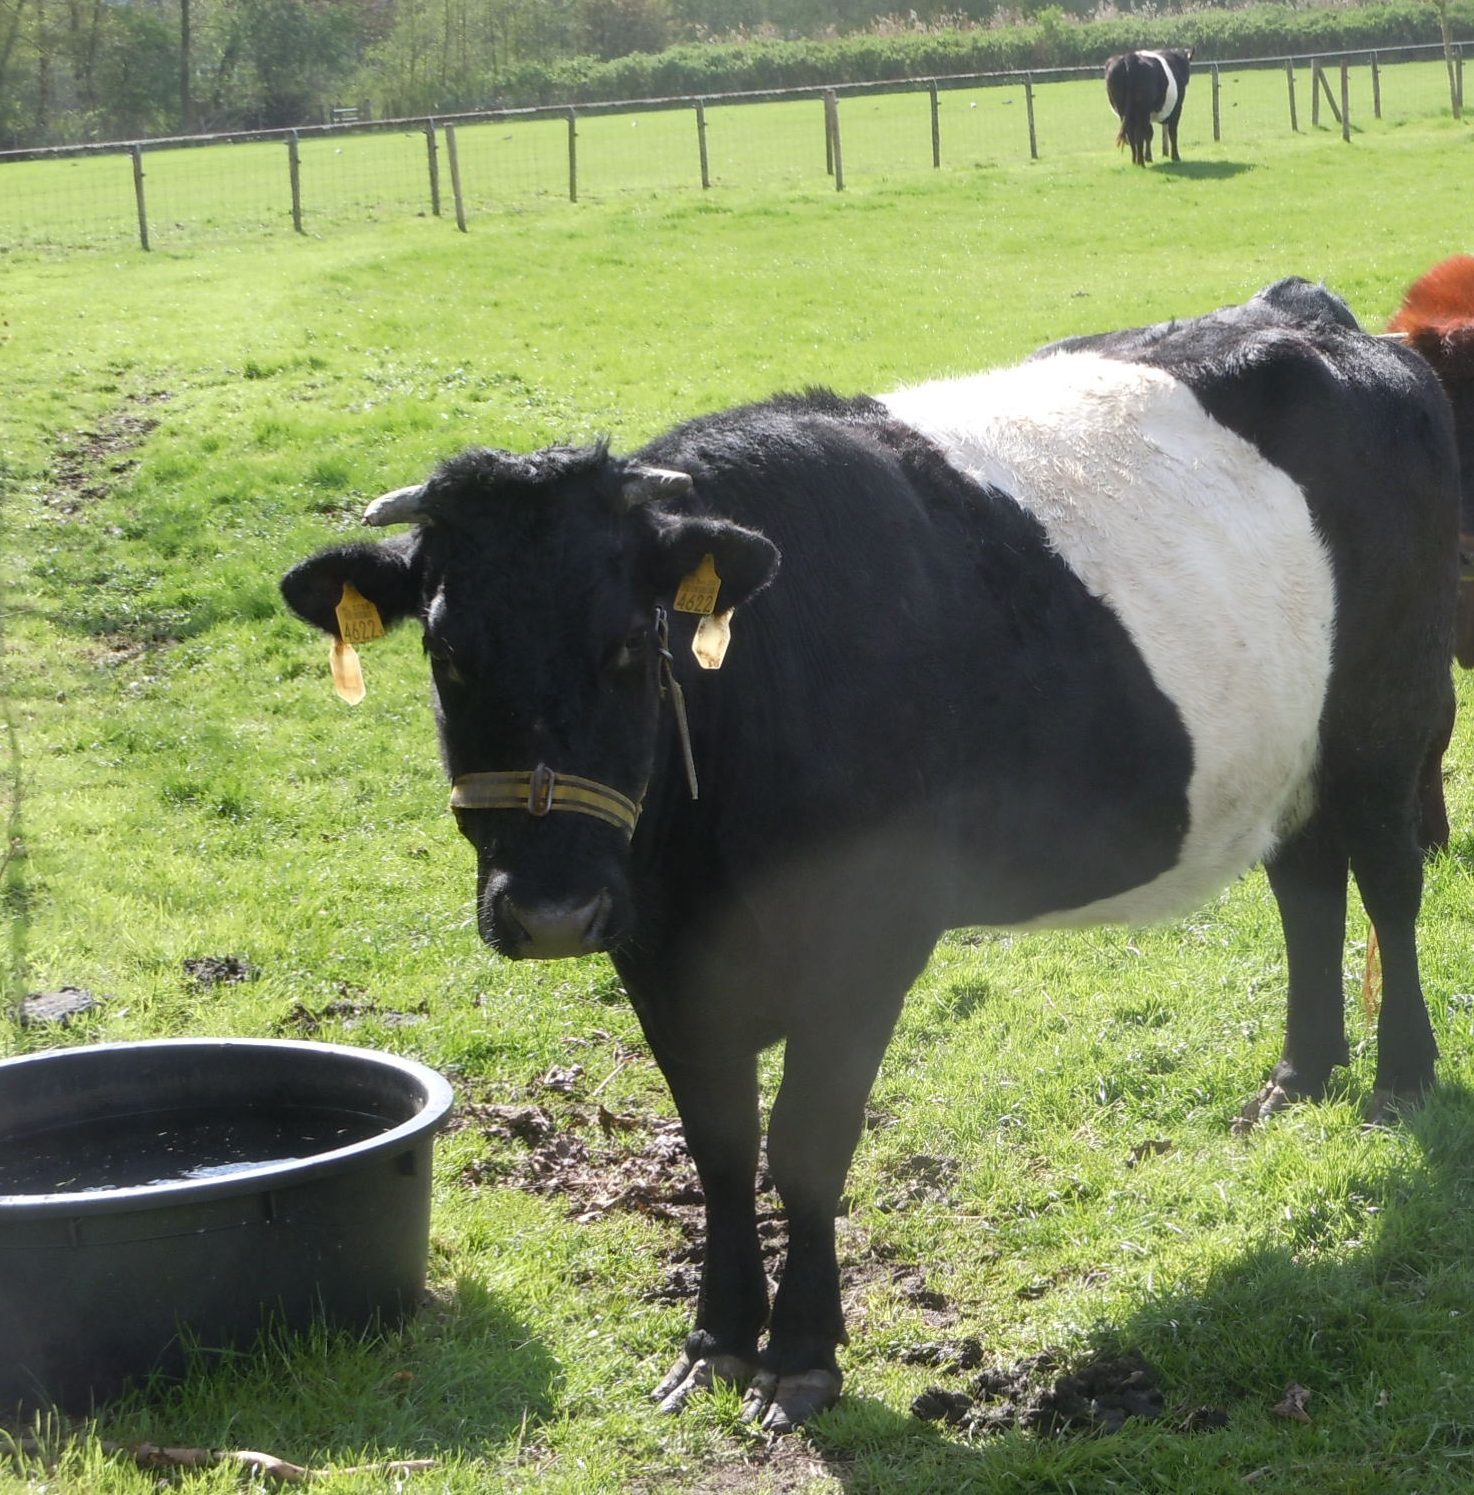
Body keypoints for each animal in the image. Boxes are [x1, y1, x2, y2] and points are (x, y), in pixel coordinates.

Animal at [281, 279, 1457, 1434]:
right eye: (447, 652)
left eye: (628, 643)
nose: (550, 911)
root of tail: (1311, 314)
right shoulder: (659, 949)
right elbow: (717, 1142)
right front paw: (713, 1341)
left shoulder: (867, 937)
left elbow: (805, 1142)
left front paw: (801, 1358)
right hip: (1290, 744)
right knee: (1306, 881)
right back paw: (1299, 1076)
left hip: (1388, 712)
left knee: (1390, 881)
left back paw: (1400, 1079)